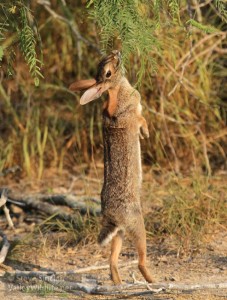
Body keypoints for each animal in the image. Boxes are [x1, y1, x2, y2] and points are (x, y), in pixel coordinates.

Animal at [69, 50, 154, 284]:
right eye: (108, 72)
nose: (116, 54)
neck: (116, 90)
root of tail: (113, 218)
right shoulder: (134, 115)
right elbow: (141, 120)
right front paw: (146, 134)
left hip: (120, 234)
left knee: (112, 262)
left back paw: (118, 284)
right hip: (137, 224)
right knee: (140, 260)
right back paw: (153, 281)